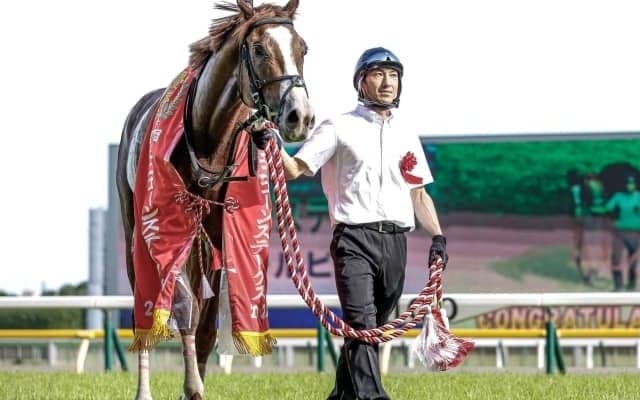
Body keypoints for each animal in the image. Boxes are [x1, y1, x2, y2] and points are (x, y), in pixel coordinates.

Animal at [115, 1, 315, 399]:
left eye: (302, 48)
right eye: (259, 49)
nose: (299, 117)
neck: (208, 141)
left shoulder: (222, 229)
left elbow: (207, 321)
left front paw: (194, 388)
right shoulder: (170, 225)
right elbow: (185, 308)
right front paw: (191, 383)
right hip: (135, 228)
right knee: (144, 304)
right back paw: (144, 389)